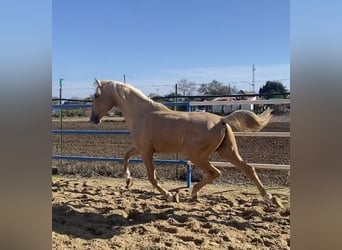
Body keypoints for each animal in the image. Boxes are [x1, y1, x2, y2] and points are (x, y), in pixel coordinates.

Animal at [89, 79, 282, 206]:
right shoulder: (140, 148)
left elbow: (152, 178)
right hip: (227, 151)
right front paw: (128, 181)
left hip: (198, 156)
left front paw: (171, 196)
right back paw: (270, 199)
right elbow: (125, 156)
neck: (142, 114)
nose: (93, 119)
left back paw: (193, 193)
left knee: (216, 172)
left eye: (96, 95)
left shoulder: (146, 151)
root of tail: (222, 120)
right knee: (248, 169)